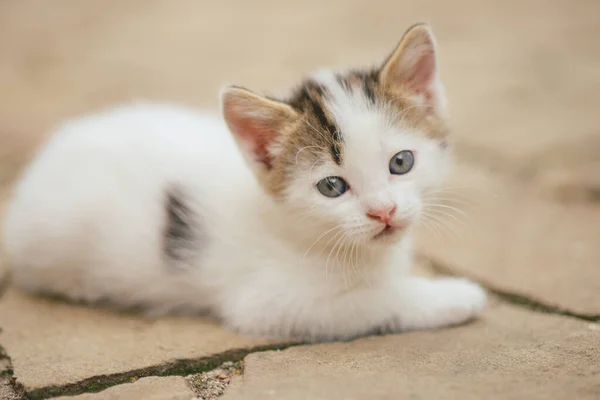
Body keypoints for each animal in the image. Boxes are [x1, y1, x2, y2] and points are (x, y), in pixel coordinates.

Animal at [1, 23, 488, 340]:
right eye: (332, 187)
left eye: (401, 162)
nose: (383, 212)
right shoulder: (268, 304)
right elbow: (375, 301)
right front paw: (454, 296)